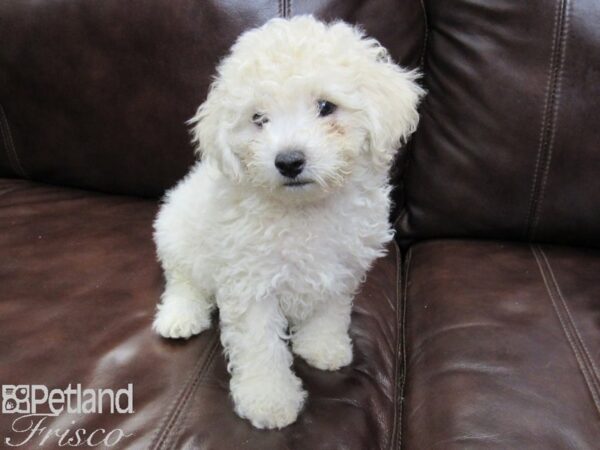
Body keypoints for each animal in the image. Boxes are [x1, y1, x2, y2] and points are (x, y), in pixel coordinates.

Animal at [155, 14, 424, 428]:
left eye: (326, 106)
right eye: (258, 119)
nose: (288, 161)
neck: (304, 209)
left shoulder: (339, 269)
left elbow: (329, 313)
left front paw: (322, 347)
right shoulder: (250, 284)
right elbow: (260, 346)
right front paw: (269, 401)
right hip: (177, 233)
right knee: (182, 280)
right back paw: (179, 316)